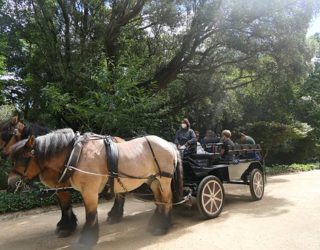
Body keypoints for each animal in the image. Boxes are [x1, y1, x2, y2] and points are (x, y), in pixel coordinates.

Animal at [7, 129, 182, 248]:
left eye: (23, 158)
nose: (10, 184)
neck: (74, 154)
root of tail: (168, 143)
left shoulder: (88, 191)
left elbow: (90, 214)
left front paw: (86, 239)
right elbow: (68, 207)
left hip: (163, 179)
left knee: (167, 200)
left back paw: (161, 226)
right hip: (153, 180)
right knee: (160, 200)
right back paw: (155, 223)